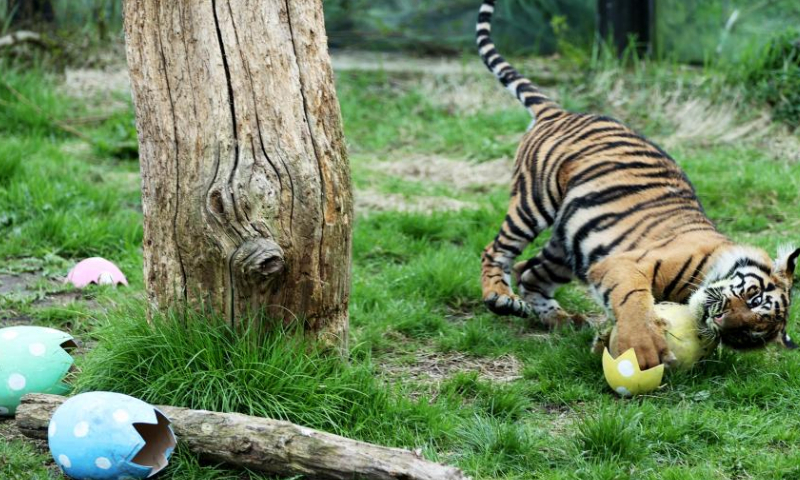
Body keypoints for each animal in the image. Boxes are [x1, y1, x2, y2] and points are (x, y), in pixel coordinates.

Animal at [478, 0, 796, 370]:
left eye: (746, 334)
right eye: (754, 297)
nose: (720, 321)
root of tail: (560, 112)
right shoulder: (624, 263)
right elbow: (633, 299)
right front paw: (641, 350)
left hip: (569, 242)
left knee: (529, 271)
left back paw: (562, 320)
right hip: (534, 202)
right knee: (497, 251)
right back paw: (500, 297)